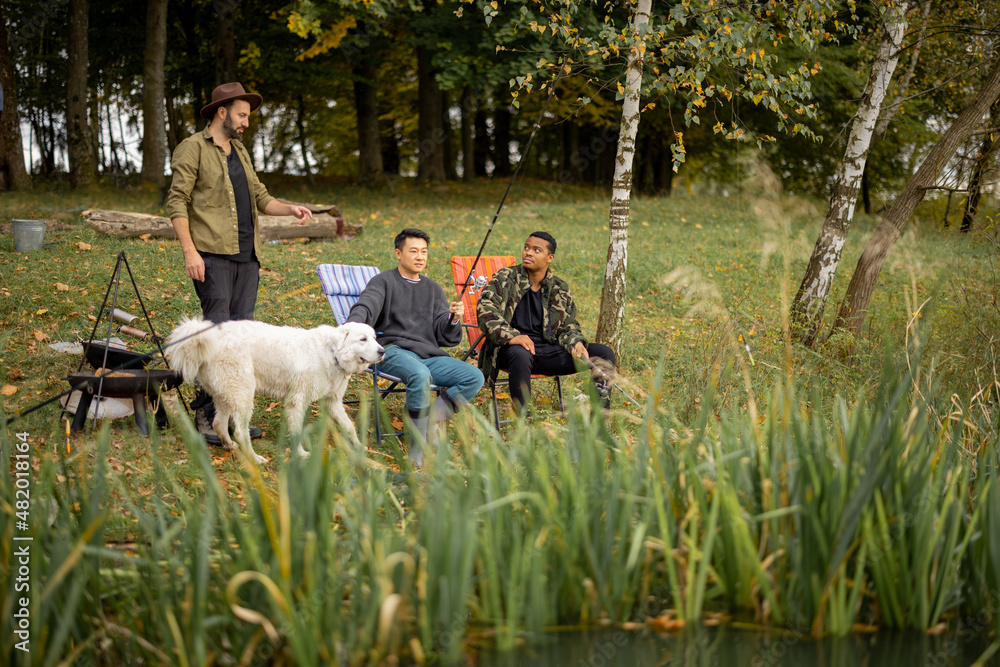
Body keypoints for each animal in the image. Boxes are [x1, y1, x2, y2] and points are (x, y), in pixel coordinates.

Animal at [164, 318, 382, 464]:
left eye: (373, 337)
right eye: (362, 339)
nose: (382, 351)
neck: (331, 353)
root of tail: (208, 336)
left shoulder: (333, 402)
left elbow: (349, 426)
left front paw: (359, 446)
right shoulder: (297, 401)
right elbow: (297, 431)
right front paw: (301, 454)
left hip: (226, 394)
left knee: (219, 423)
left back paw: (230, 446)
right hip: (243, 393)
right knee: (241, 432)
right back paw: (254, 458)